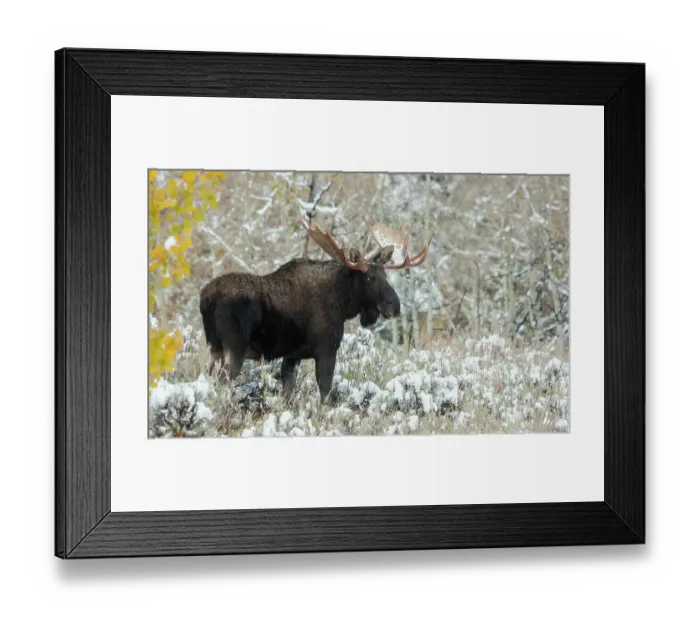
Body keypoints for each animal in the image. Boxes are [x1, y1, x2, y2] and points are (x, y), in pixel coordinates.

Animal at [199, 218, 432, 403]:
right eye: (369, 277)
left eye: (385, 274)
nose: (395, 305)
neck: (343, 304)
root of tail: (206, 298)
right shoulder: (326, 349)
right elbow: (325, 395)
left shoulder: (292, 356)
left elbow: (288, 394)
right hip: (235, 348)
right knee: (221, 384)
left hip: (214, 348)